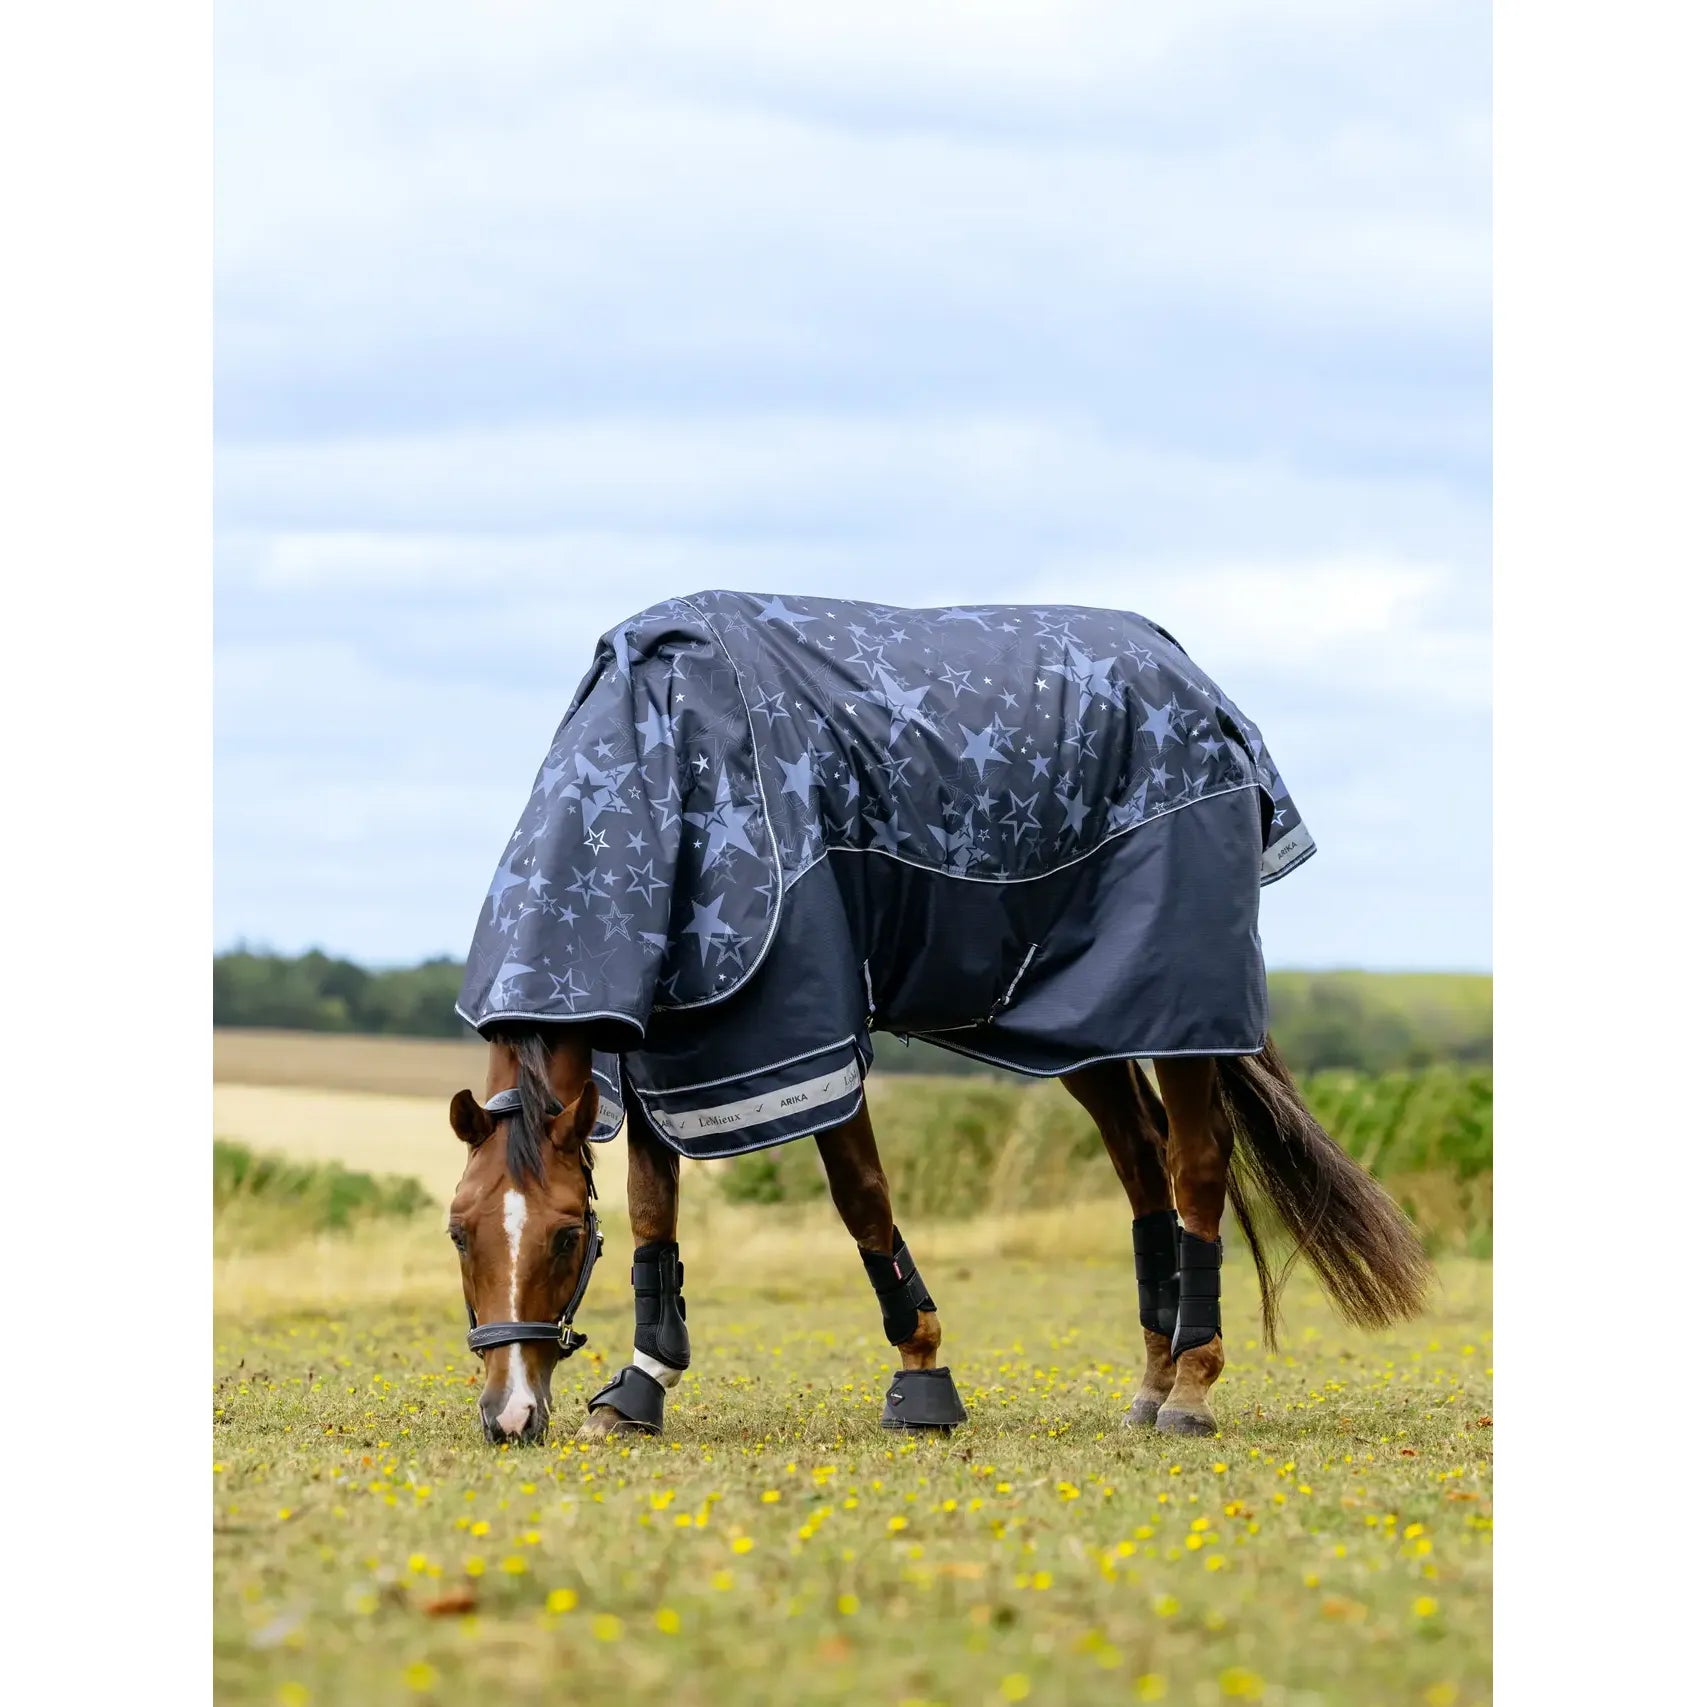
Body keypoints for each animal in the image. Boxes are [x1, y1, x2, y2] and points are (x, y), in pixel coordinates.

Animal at [443, 591, 1432, 1445]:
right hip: (1089, 1026)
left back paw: (1189, 1387)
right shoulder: (664, 1048)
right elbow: (655, 1213)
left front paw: (921, 1377)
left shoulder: (805, 1032)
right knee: (1142, 1163)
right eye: (459, 1230)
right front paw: (641, 1386)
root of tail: (1196, 682)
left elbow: (861, 1198)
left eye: (565, 1236)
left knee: (1195, 1163)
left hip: (1181, 1004)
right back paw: (1151, 1384)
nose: (508, 1415)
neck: (664, 767)